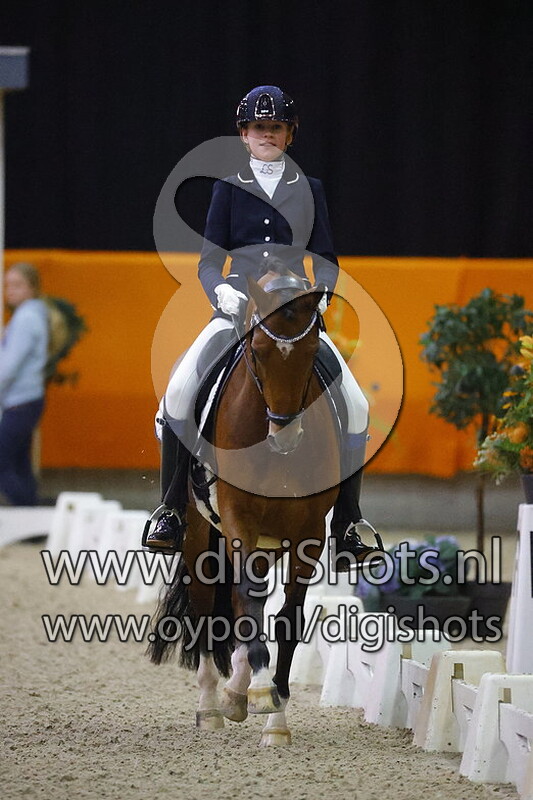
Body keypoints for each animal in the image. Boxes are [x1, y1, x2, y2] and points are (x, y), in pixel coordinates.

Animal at [148, 266, 342, 746]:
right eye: (257, 350)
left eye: (312, 351)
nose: (285, 434)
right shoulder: (238, 519)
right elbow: (244, 601)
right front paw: (255, 689)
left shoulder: (308, 533)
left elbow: (287, 619)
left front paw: (275, 716)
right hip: (201, 535)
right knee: (209, 607)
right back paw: (213, 706)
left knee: (240, 602)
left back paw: (238, 691)